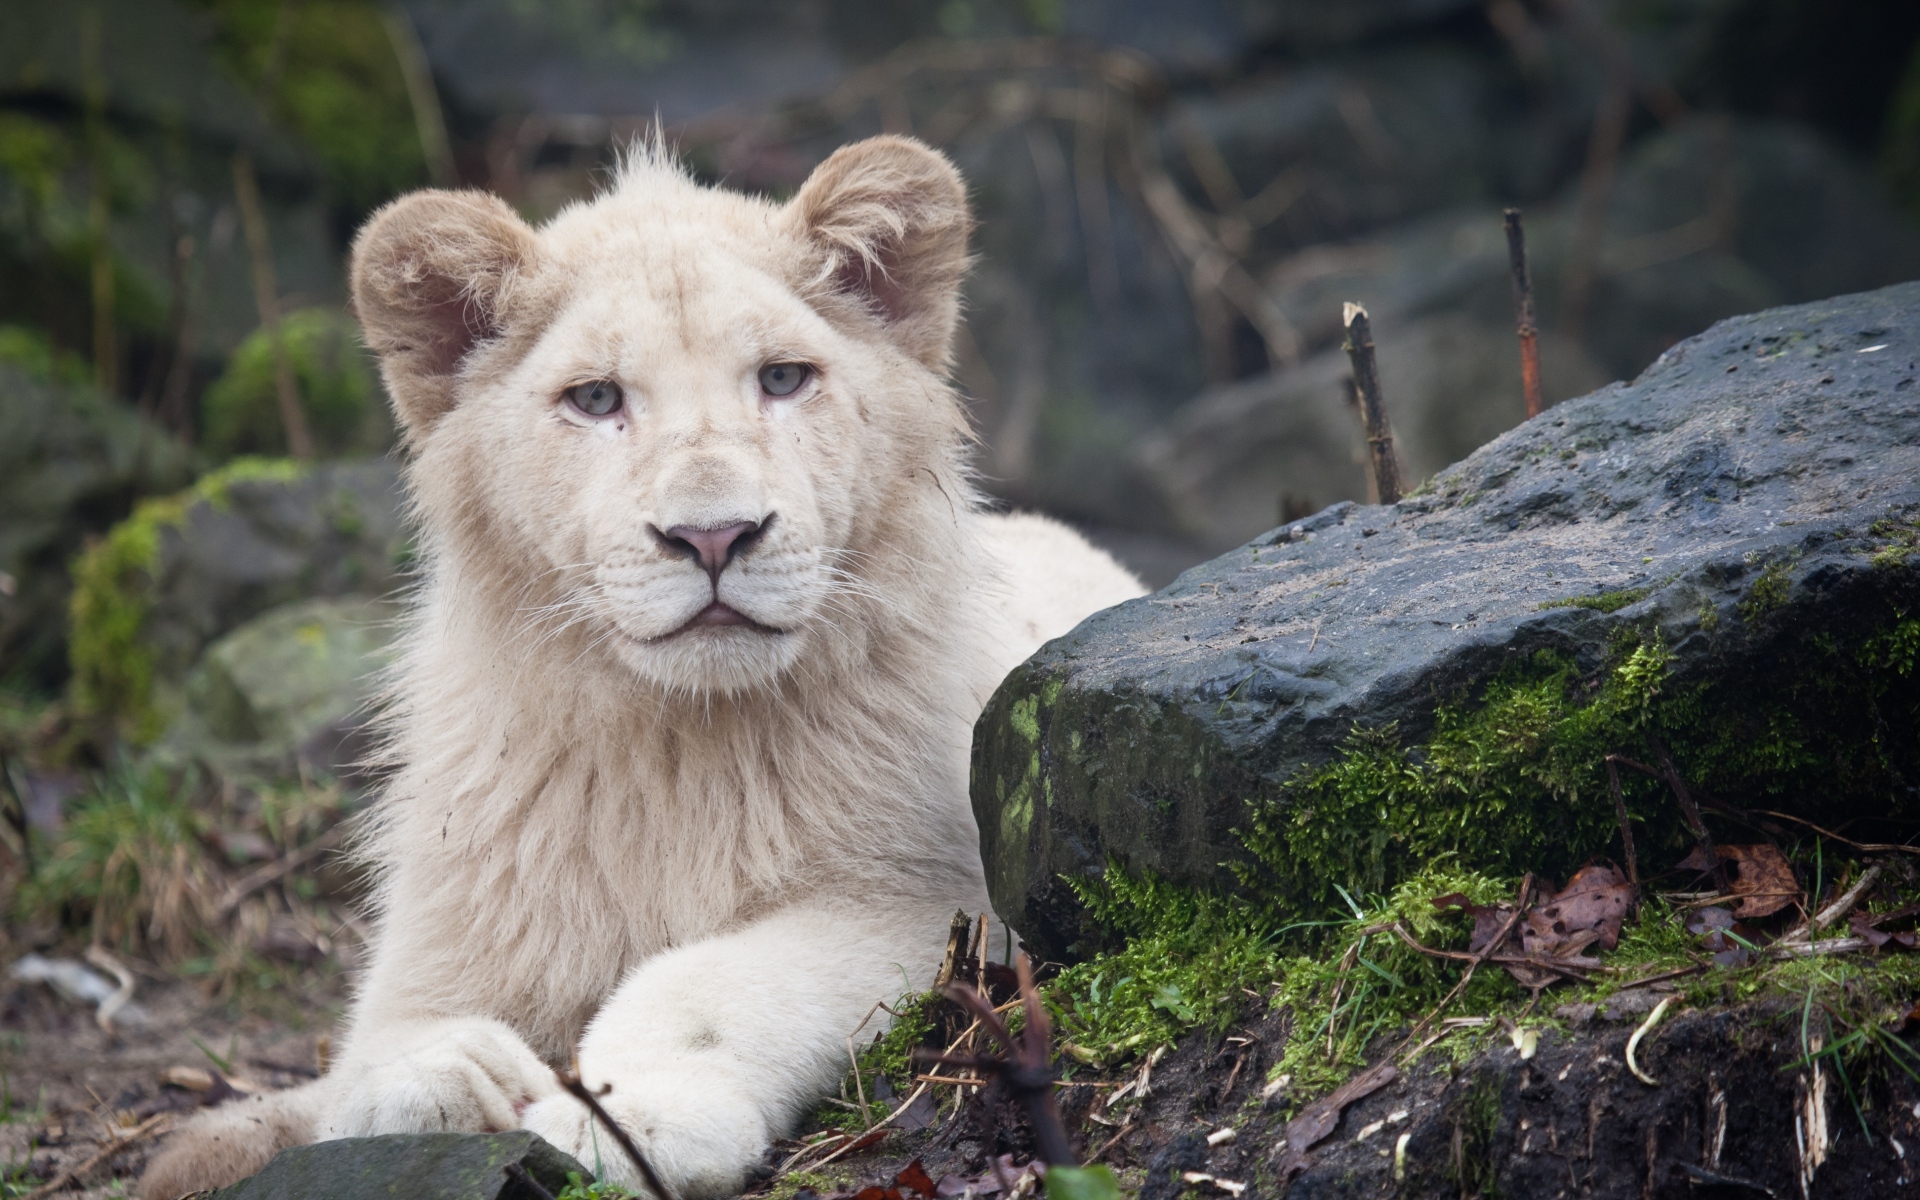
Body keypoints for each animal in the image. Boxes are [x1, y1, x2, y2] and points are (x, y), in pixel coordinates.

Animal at [139, 136, 1143, 1199]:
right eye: (595, 398)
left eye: (782, 378)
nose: (714, 535)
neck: (671, 745)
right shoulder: (456, 914)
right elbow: (373, 1053)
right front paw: (442, 1074)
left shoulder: (933, 899)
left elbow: (714, 978)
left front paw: (635, 1113)